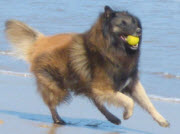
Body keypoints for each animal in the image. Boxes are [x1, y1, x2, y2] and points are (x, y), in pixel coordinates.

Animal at [4, 5, 169, 126]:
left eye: (135, 22)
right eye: (123, 23)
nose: (139, 31)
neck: (111, 49)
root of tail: (39, 42)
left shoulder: (130, 83)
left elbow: (148, 102)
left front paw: (161, 120)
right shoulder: (102, 87)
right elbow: (129, 101)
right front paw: (127, 114)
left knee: (98, 104)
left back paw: (112, 118)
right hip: (59, 87)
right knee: (51, 103)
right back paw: (58, 119)